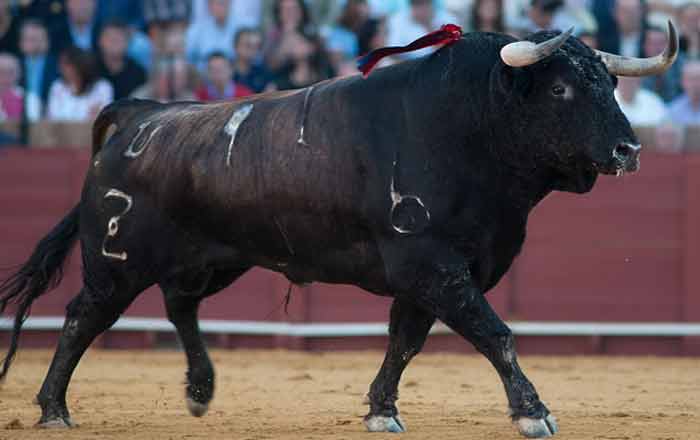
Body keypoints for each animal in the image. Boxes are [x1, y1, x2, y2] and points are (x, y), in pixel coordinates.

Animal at [0, 29, 672, 438]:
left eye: (611, 84)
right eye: (561, 88)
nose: (629, 150)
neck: (471, 126)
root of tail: (139, 116)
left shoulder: (440, 274)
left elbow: (405, 342)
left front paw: (380, 411)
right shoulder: (431, 266)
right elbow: (495, 333)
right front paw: (532, 413)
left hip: (216, 258)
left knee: (179, 306)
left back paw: (199, 390)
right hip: (116, 260)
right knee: (83, 317)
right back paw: (54, 409)